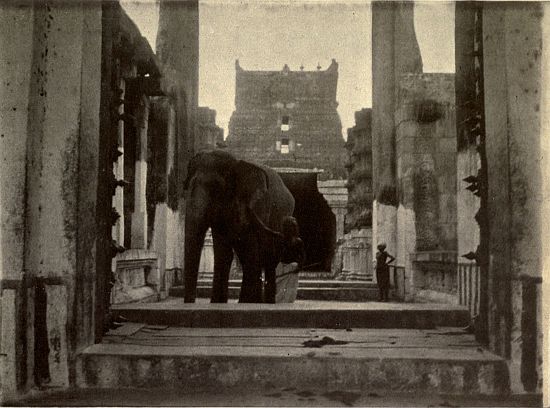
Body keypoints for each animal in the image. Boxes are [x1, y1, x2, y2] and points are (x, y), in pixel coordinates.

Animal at [184, 151, 298, 302]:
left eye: (216, 189)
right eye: (187, 187)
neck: (235, 163)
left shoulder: (257, 207)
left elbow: (251, 252)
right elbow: (223, 254)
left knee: (267, 258)